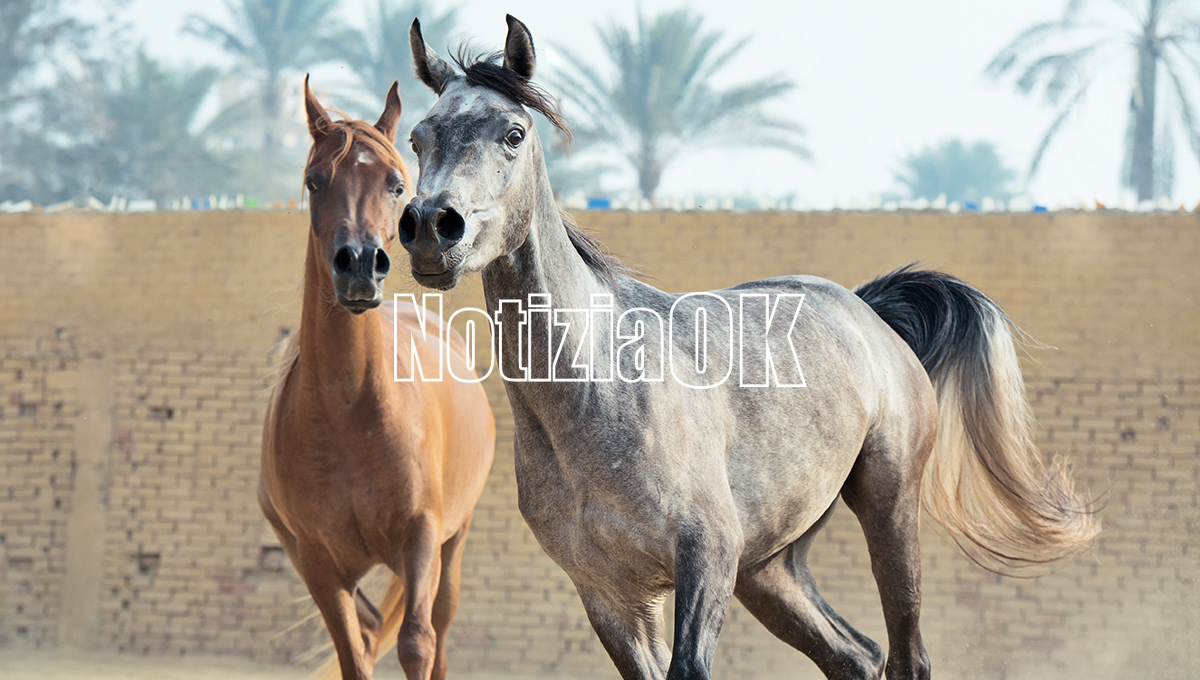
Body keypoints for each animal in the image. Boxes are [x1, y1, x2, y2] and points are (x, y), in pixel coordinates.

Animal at [258, 77, 495, 680]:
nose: (360, 264)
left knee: (439, 630)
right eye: (315, 181)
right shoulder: (318, 563)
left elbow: (416, 643)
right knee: (368, 631)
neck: (350, 409)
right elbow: (354, 653)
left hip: (453, 546)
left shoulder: (422, 538)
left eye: (396, 184)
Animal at [398, 16, 1098, 680]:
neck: (596, 389)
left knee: (906, 654)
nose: (433, 226)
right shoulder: (610, 596)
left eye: (513, 133)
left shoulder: (706, 559)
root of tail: (868, 313)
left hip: (888, 507)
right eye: (418, 138)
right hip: (769, 569)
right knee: (856, 656)